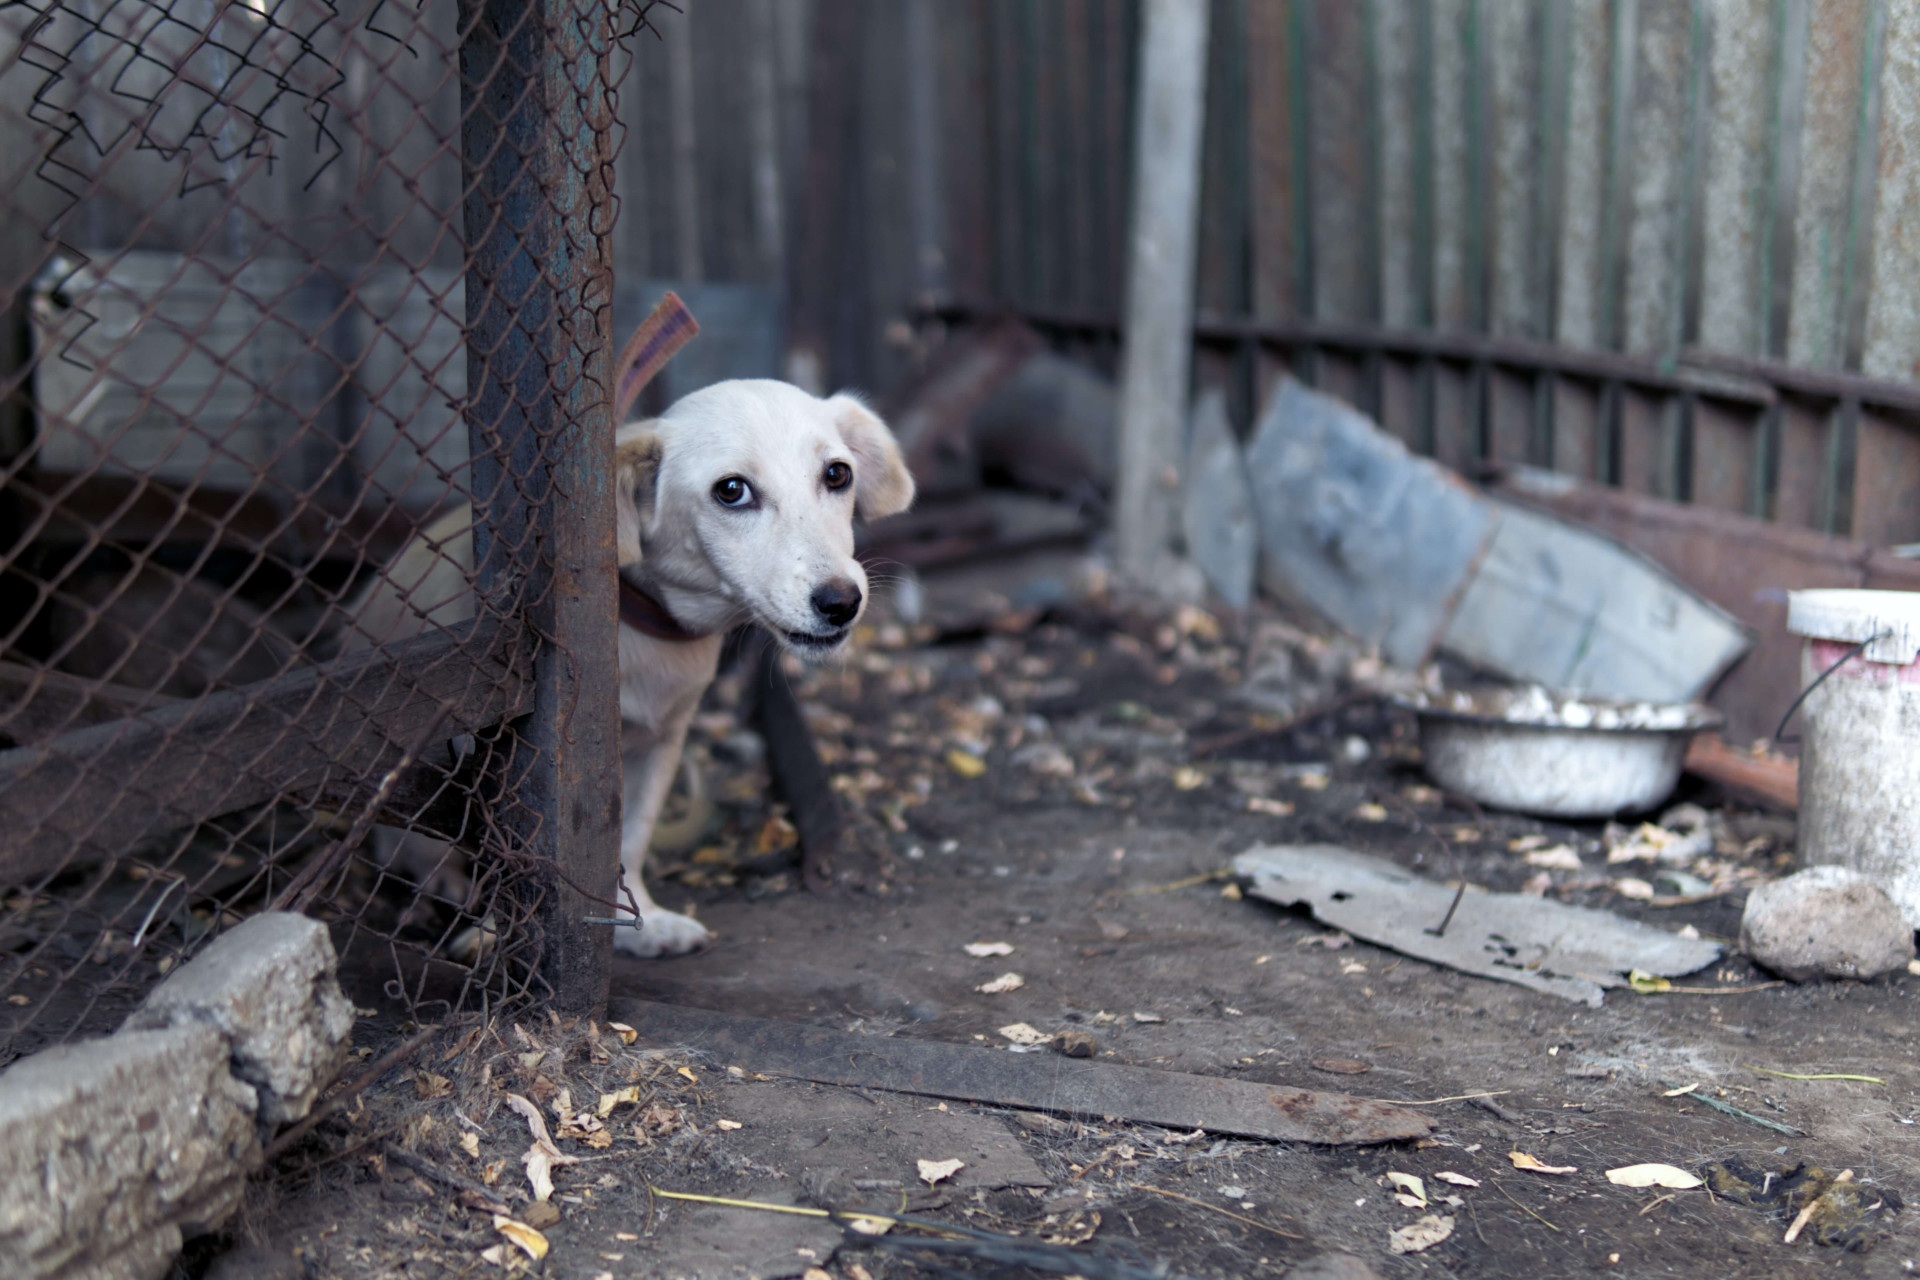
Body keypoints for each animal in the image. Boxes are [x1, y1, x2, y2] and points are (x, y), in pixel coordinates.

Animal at [345, 383, 913, 959]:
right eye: (732, 490)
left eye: (837, 474)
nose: (842, 603)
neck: (641, 632)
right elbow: (506, 854)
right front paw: (497, 935)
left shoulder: (659, 744)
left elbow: (630, 838)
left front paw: (636, 923)